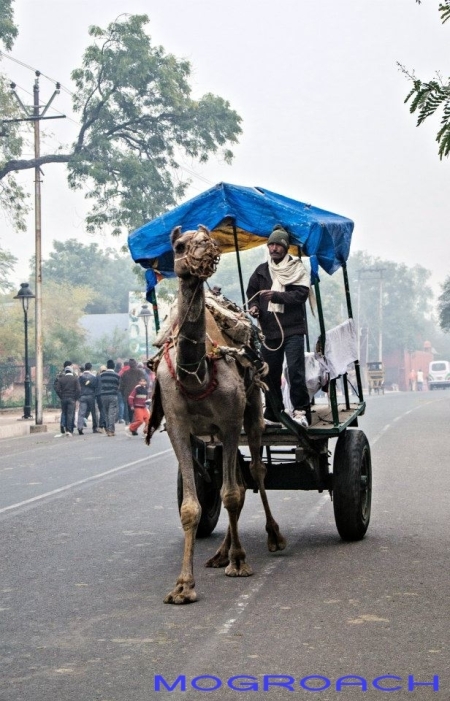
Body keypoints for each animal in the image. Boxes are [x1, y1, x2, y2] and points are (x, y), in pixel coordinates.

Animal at [149, 223, 286, 600]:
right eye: (179, 246)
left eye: (207, 240)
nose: (206, 250)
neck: (195, 374)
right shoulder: (178, 425)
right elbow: (191, 506)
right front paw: (183, 586)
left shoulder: (230, 418)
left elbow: (232, 493)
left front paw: (239, 562)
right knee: (236, 476)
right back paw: (220, 553)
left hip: (250, 413)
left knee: (254, 472)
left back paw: (271, 537)